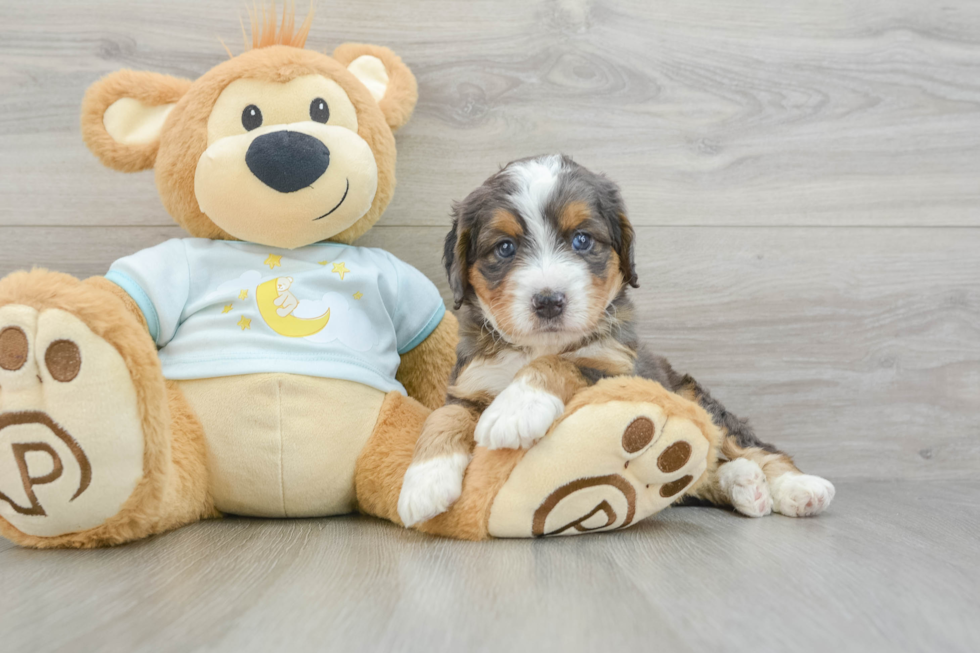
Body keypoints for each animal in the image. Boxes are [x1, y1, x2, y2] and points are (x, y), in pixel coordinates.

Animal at [396, 155, 836, 528]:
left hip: (692, 394)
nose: (549, 301)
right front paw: (423, 482)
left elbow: (564, 362)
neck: (539, 344)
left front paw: (517, 408)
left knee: (751, 446)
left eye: (581, 240)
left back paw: (797, 488)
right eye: (505, 247)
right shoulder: (471, 382)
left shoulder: (619, 372)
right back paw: (745, 484)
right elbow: (443, 416)